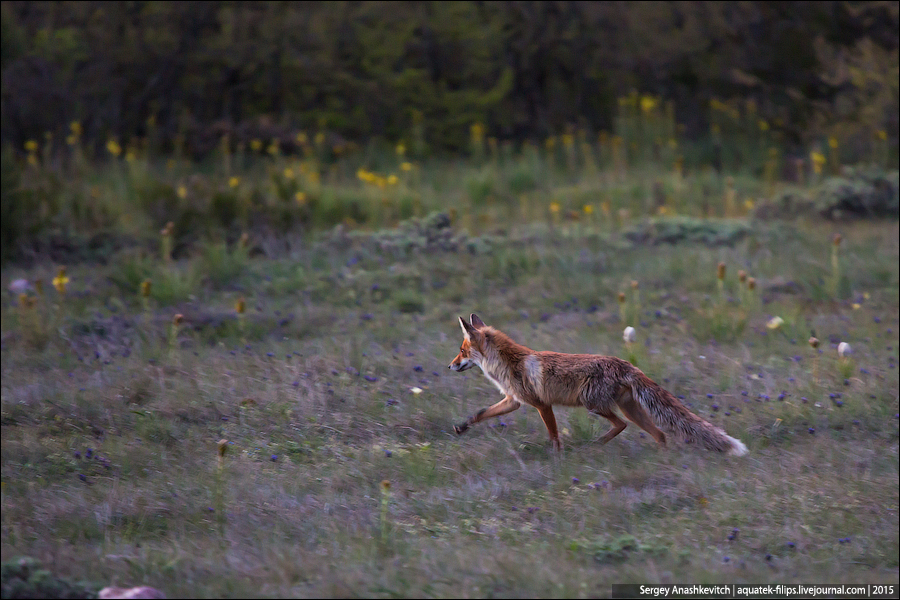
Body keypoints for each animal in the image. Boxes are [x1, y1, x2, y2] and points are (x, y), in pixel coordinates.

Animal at [446, 314, 748, 454]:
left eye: (461, 351)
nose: (449, 366)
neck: (509, 363)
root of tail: (627, 364)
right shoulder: (513, 401)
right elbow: (480, 414)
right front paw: (461, 427)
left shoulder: (542, 405)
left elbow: (554, 437)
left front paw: (558, 459)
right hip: (629, 409)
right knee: (659, 434)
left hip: (593, 404)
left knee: (621, 426)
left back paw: (597, 443)